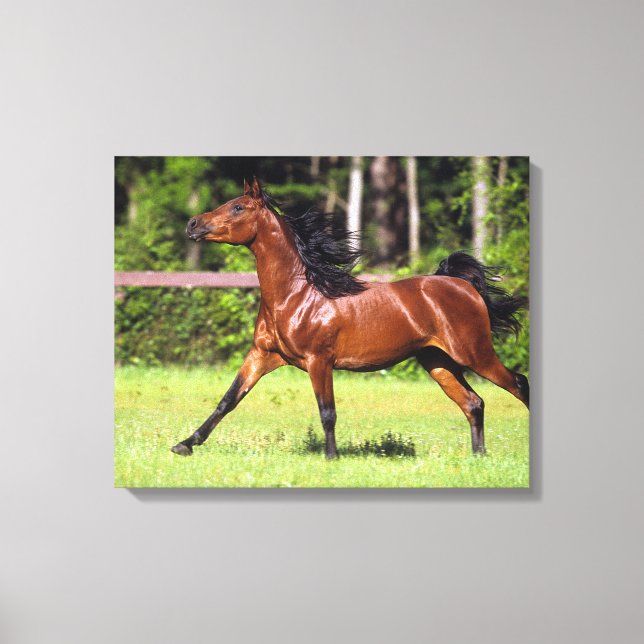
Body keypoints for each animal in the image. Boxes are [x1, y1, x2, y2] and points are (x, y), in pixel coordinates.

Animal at [171, 177, 529, 459]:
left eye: (238, 207)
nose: (192, 224)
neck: (297, 296)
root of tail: (462, 285)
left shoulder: (319, 361)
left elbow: (327, 412)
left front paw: (331, 458)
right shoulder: (263, 355)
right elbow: (228, 400)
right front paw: (185, 444)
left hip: (475, 354)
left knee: (517, 383)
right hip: (438, 362)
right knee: (473, 402)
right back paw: (478, 455)